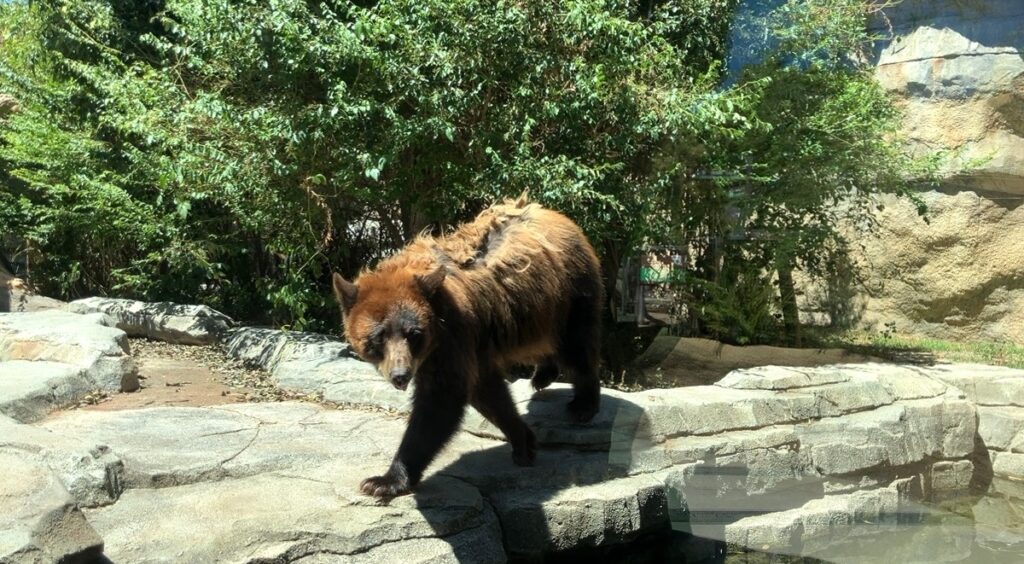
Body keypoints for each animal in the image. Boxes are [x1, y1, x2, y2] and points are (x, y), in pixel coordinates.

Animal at [331, 196, 602, 497]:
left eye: (413, 333)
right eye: (379, 336)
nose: (400, 375)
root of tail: (554, 214)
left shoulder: (453, 337)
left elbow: (442, 399)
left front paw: (383, 480)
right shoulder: (469, 346)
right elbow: (489, 393)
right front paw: (523, 442)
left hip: (571, 294)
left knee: (577, 346)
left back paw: (582, 404)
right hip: (534, 313)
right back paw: (543, 375)